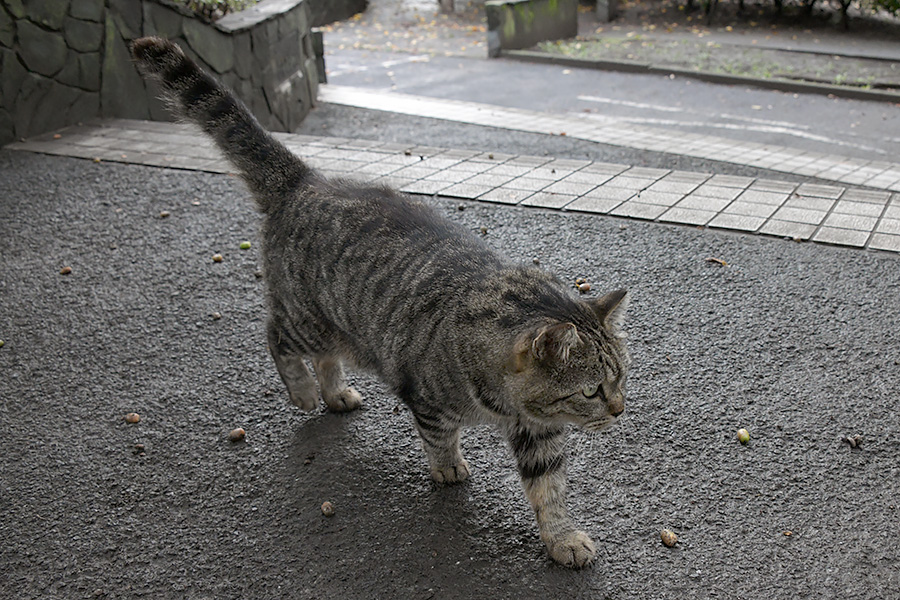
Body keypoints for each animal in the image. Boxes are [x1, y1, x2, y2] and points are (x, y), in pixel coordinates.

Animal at [130, 37, 628, 568]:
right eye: (592, 391)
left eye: (620, 380)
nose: (620, 410)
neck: (503, 402)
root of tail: (305, 179)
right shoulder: (429, 400)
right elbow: (439, 439)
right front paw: (448, 467)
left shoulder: (539, 434)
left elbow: (549, 489)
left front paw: (562, 537)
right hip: (308, 320)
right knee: (275, 336)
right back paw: (303, 391)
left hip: (340, 331)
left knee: (325, 358)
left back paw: (334, 393)